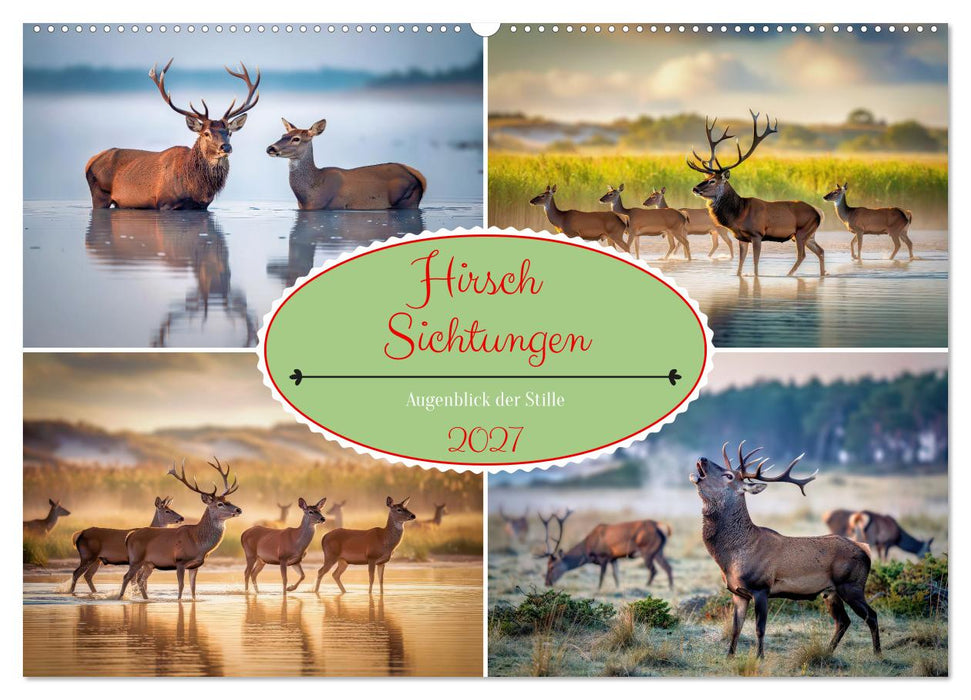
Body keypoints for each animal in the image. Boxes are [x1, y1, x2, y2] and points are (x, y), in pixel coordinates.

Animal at [85, 59, 260, 210]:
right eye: (206, 133)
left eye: (229, 132)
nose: (226, 147)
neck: (196, 188)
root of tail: (90, 161)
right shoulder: (165, 203)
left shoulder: (202, 207)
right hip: (100, 194)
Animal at [118, 459, 242, 600]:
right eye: (219, 504)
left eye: (228, 501)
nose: (239, 509)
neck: (198, 542)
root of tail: (129, 535)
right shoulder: (180, 561)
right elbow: (181, 586)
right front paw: (179, 601)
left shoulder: (195, 565)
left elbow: (193, 588)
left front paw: (193, 600)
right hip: (136, 559)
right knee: (127, 577)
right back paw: (119, 598)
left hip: (149, 563)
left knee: (140, 580)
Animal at [540, 511, 674, 590]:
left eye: (551, 566)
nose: (546, 583)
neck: (588, 549)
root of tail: (662, 527)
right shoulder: (614, 558)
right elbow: (616, 576)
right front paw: (617, 588)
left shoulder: (604, 556)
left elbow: (602, 576)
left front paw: (598, 589)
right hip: (658, 551)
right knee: (668, 567)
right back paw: (671, 587)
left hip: (647, 551)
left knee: (654, 570)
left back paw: (647, 586)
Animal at [688, 111, 825, 277]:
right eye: (705, 178)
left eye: (712, 181)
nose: (695, 189)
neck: (739, 214)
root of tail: (818, 212)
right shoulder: (741, 237)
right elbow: (740, 263)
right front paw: (738, 275)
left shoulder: (757, 234)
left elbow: (755, 262)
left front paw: (756, 277)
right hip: (809, 234)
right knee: (820, 251)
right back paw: (822, 273)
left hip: (802, 231)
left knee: (802, 255)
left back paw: (789, 274)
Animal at [691, 442, 880, 658]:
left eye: (729, 476)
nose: (703, 458)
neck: (732, 557)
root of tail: (865, 550)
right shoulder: (738, 592)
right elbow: (736, 628)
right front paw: (729, 657)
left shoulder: (761, 587)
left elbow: (759, 628)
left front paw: (759, 658)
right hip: (831, 592)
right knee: (843, 621)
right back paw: (828, 652)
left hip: (852, 585)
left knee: (871, 615)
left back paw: (877, 654)